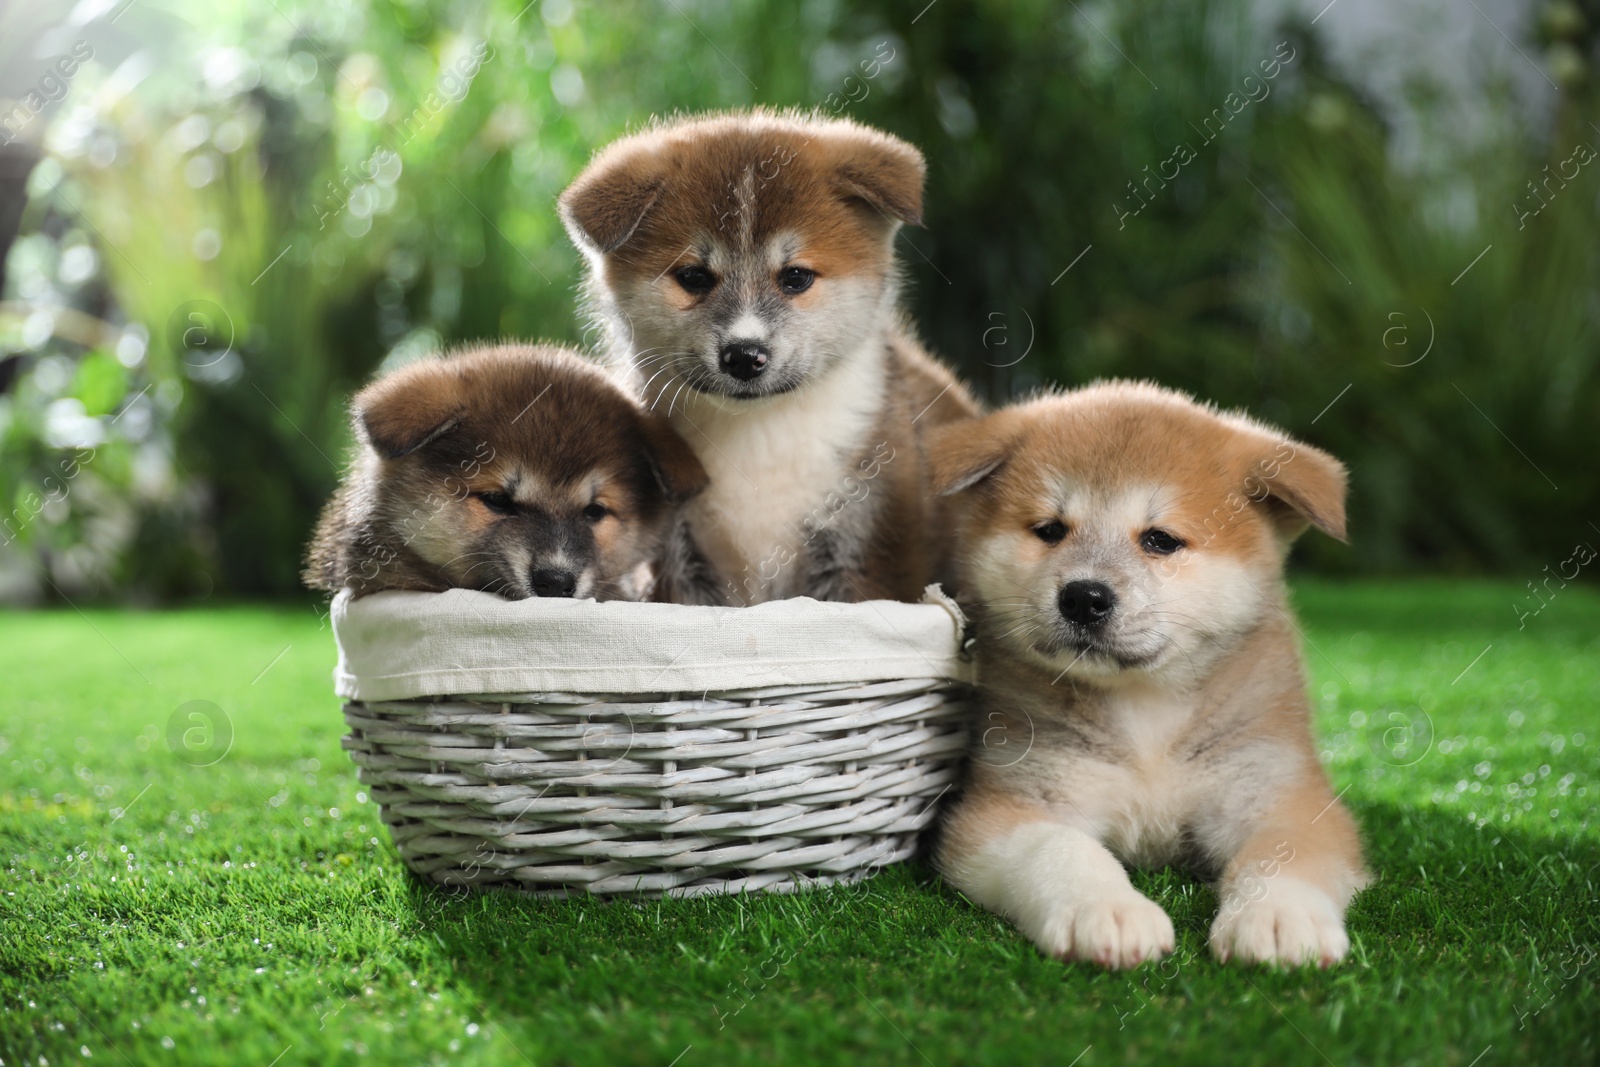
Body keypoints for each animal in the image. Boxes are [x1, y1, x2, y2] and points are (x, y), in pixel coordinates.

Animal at [556, 109, 979, 607]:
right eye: (694, 277)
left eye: (795, 277)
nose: (744, 355)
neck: (759, 434)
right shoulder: (681, 564)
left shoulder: (861, 550)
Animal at [934, 382, 1369, 966]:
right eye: (1049, 531)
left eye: (1160, 540)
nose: (1084, 596)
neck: (1147, 719)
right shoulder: (1015, 802)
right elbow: (1062, 848)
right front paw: (1106, 909)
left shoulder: (1279, 793)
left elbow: (1282, 856)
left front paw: (1279, 916)